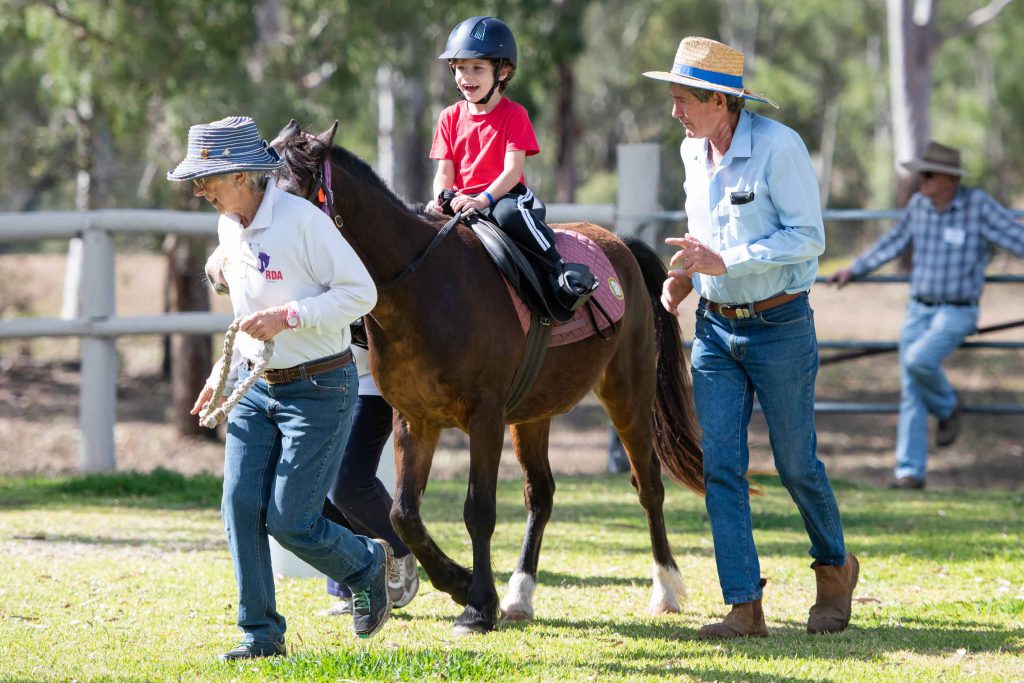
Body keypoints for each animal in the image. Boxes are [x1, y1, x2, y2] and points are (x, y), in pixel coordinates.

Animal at [272, 118, 704, 634]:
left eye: (294, 198)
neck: (425, 287)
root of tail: (619, 244)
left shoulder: (484, 417)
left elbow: (477, 510)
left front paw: (478, 606)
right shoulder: (414, 419)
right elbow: (402, 514)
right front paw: (459, 583)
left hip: (628, 392)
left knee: (649, 486)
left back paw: (666, 590)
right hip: (533, 415)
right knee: (541, 495)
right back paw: (520, 595)